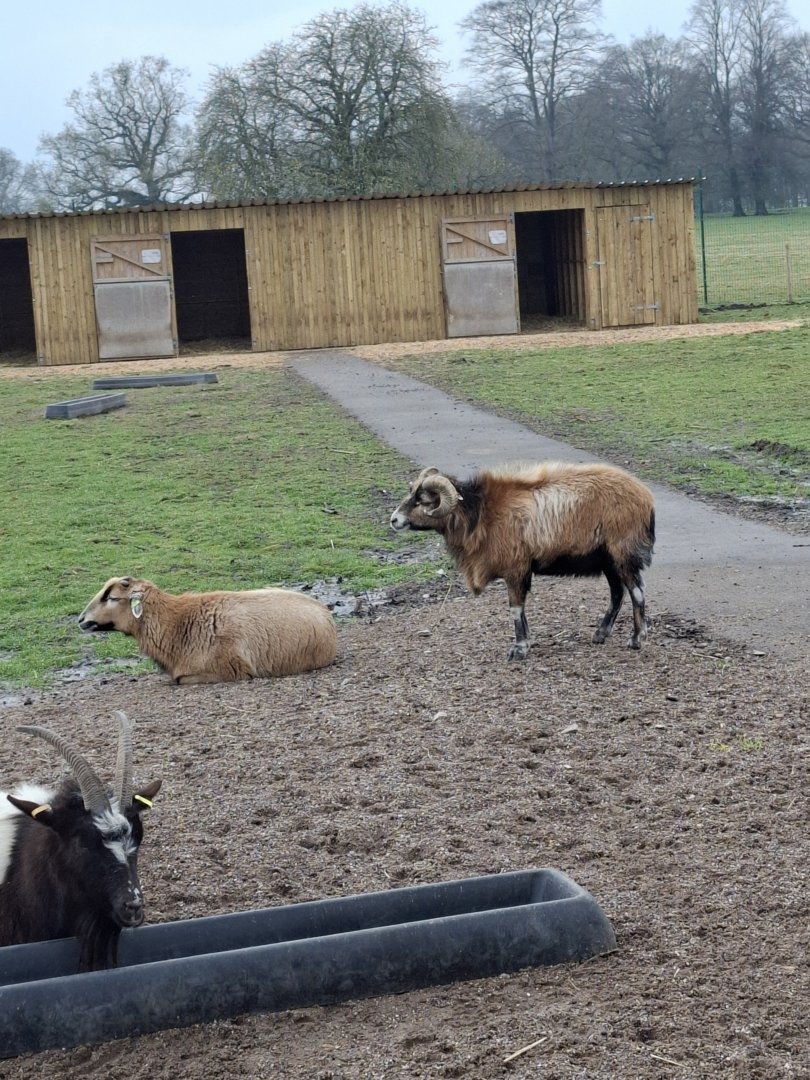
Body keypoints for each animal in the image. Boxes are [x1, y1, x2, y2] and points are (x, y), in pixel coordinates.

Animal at [78, 576, 337, 685]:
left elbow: (179, 680)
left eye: (111, 597)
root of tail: (324, 611)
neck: (177, 623)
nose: (81, 619)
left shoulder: (229, 671)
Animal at [390, 462, 655, 660]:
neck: (480, 514)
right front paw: (526, 642)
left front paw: (518, 649)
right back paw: (600, 635)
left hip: (623, 555)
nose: (394, 520)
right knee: (617, 593)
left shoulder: (515, 569)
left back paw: (636, 639)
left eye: (423, 500)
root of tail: (646, 498)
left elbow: (515, 608)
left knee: (637, 592)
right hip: (608, 560)